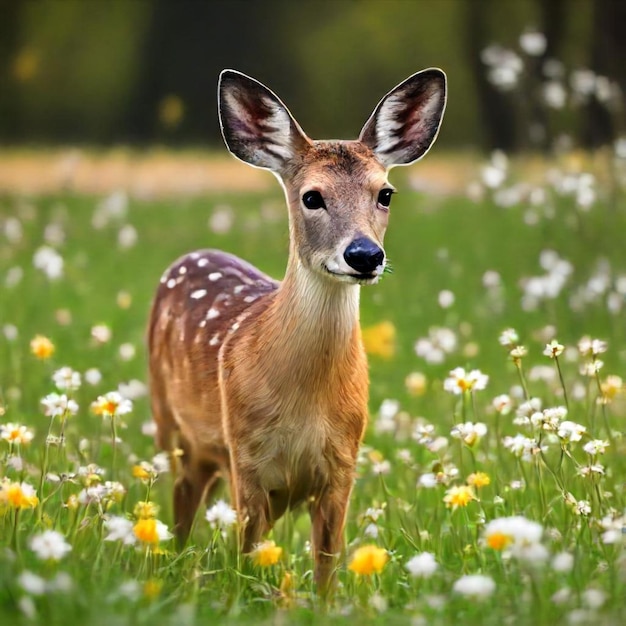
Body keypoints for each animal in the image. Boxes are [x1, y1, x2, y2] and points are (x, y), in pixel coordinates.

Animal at [146, 68, 444, 588]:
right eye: (312, 197)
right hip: (173, 427)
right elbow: (249, 560)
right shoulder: (248, 460)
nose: (364, 254)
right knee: (180, 511)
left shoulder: (343, 465)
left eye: (385, 193)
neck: (307, 403)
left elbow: (326, 570)